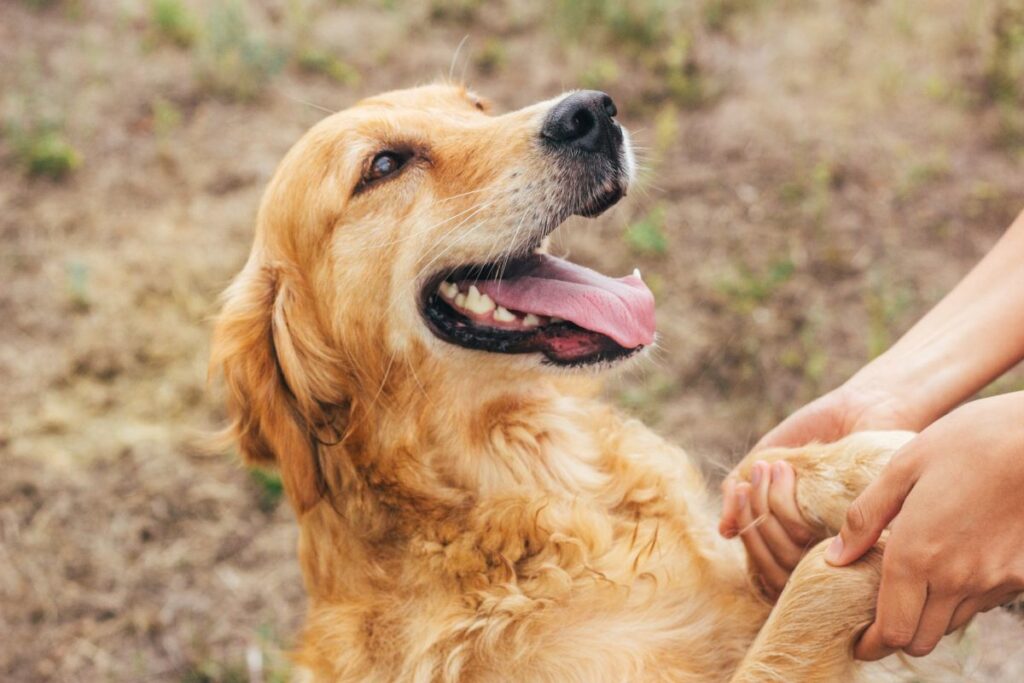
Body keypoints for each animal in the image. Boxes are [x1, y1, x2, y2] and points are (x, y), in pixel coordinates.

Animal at [209, 82, 966, 679]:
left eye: (476, 106)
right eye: (384, 164)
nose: (591, 112)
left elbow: (760, 473)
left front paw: (873, 465)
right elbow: (816, 587)